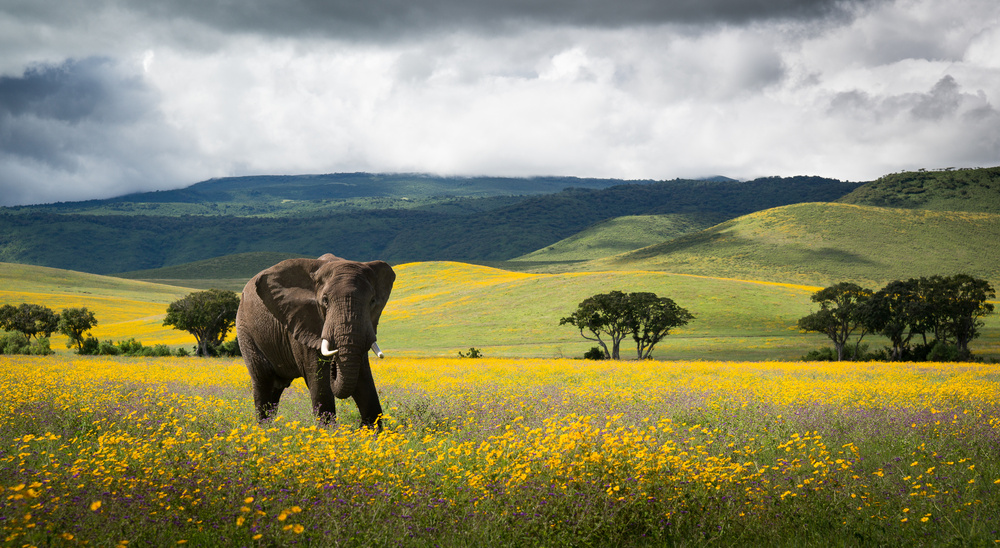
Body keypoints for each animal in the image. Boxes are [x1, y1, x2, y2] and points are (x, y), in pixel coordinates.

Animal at [236, 254, 396, 428]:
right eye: (325, 300)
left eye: (372, 301)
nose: (334, 364)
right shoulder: (302, 321)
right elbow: (320, 382)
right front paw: (328, 432)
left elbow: (364, 379)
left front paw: (372, 432)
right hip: (245, 330)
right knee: (263, 382)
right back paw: (264, 429)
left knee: (275, 390)